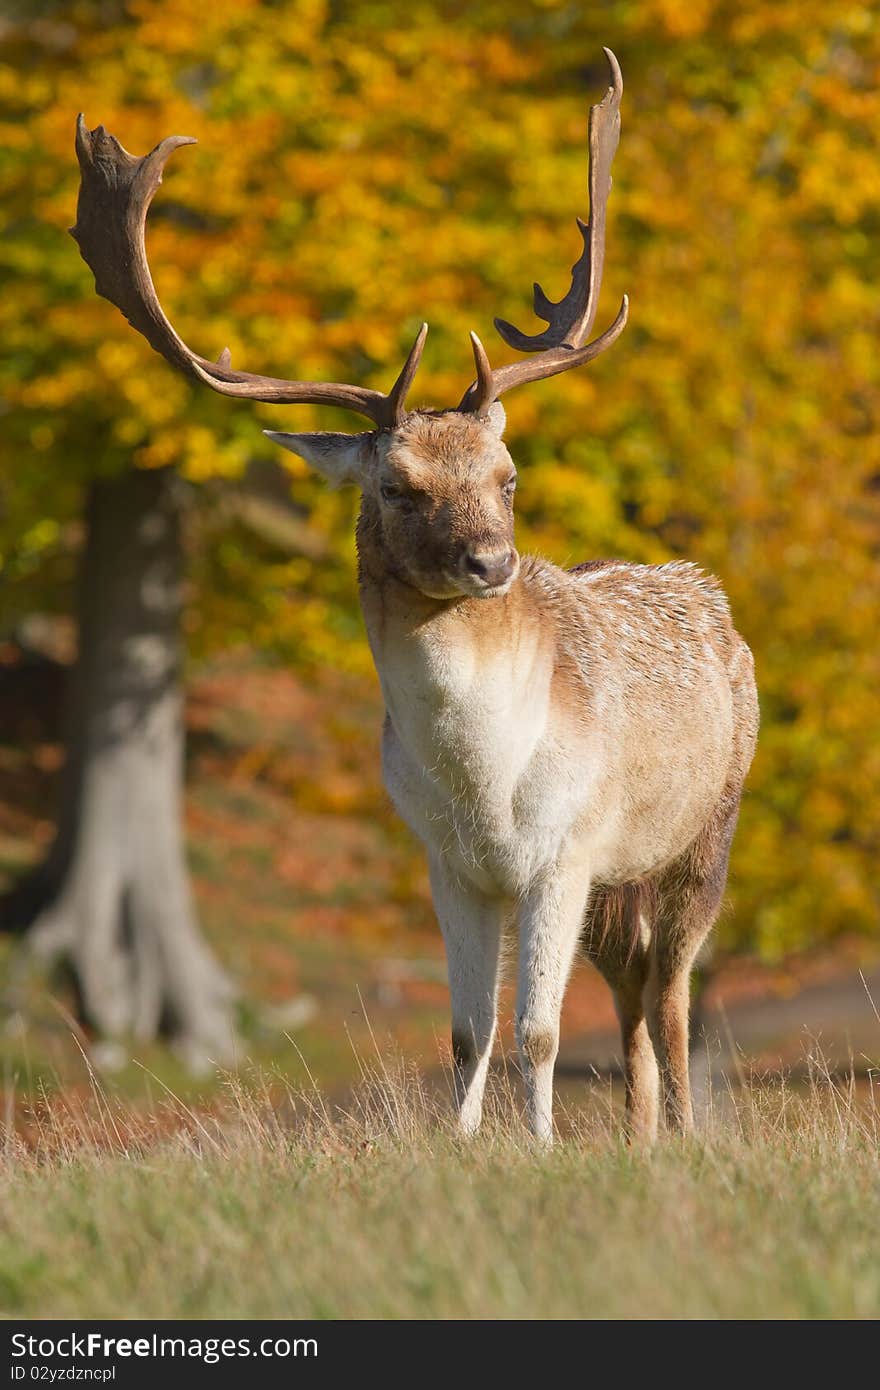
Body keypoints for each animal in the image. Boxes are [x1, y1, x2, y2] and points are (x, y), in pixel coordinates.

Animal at [71, 48, 756, 1145]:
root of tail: (707, 591)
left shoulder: (563, 850)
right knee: (634, 990)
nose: (490, 562)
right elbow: (468, 1032)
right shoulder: (446, 861)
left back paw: (685, 1133)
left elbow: (537, 1033)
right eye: (398, 487)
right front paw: (463, 1147)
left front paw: (539, 1149)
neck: (488, 787)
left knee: (674, 991)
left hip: (704, 830)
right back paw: (642, 1135)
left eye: (508, 476)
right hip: (622, 882)